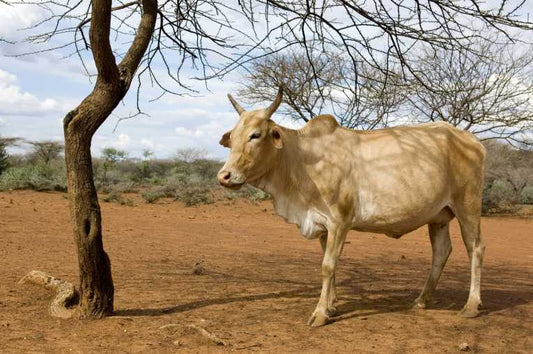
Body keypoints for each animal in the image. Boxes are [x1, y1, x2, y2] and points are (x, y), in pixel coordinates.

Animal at [216, 88, 486, 326]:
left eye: (255, 135)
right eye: (233, 138)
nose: (225, 176)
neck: (300, 160)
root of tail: (472, 140)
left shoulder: (339, 221)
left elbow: (327, 266)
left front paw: (320, 314)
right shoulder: (322, 225)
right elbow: (330, 265)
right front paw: (331, 306)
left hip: (468, 206)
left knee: (475, 248)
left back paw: (471, 306)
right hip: (438, 216)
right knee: (441, 251)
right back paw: (421, 301)